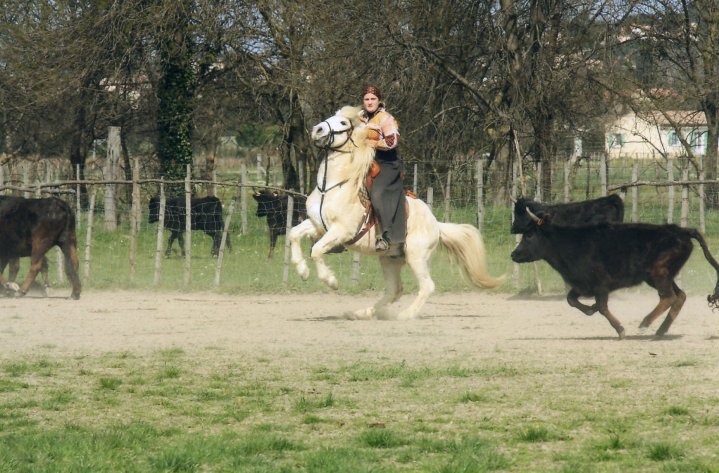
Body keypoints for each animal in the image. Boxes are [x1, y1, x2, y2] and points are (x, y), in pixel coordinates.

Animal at [290, 106, 504, 318]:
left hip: (416, 257)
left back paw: (405, 315)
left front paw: (331, 281)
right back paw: (362, 313)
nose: (317, 130)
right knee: (395, 290)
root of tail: (436, 224)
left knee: (427, 286)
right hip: (389, 260)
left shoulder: (341, 231)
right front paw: (302, 271)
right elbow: (293, 234)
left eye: (343, 122)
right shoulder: (318, 226)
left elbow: (316, 250)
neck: (332, 187)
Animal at [512, 208, 719, 338]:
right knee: (680, 296)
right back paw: (660, 330)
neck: (570, 243)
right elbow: (572, 299)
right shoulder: (582, 284)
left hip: (658, 272)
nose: (514, 254)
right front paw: (590, 309)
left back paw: (644, 325)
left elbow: (602, 307)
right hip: (662, 276)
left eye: (529, 235)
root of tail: (681, 231)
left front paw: (620, 329)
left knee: (668, 297)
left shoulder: (600, 284)